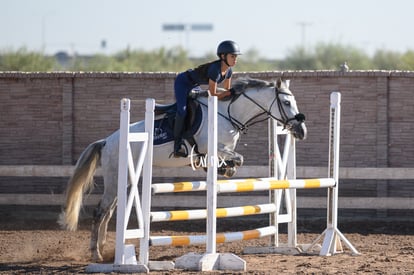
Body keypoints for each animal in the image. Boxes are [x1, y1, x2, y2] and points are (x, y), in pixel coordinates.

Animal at [58, 76, 308, 262]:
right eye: (287, 103)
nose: (301, 131)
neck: (228, 113)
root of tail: (107, 141)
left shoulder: (220, 149)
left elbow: (233, 160)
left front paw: (225, 170)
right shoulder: (211, 147)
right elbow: (237, 158)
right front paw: (226, 169)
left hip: (125, 178)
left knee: (108, 211)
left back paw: (105, 251)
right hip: (115, 175)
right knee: (100, 211)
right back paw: (96, 253)